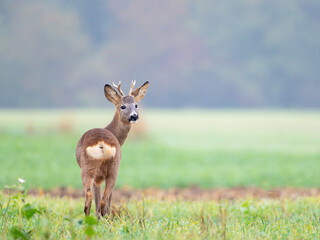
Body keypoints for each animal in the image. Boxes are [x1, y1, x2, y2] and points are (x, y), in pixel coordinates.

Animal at [75, 80, 149, 218]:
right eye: (123, 106)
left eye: (136, 105)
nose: (134, 116)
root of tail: (101, 143)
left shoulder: (98, 176)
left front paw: (99, 216)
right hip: (110, 167)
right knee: (98, 198)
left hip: (92, 168)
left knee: (93, 197)